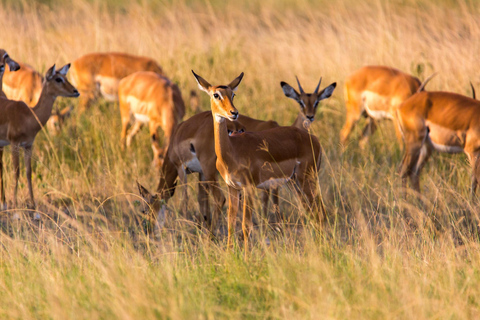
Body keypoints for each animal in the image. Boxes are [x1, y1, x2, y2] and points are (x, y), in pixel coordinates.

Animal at [0, 63, 79, 212]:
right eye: (58, 79)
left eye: (65, 77)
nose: (76, 91)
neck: (29, 115)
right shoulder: (14, 144)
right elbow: (16, 172)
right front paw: (15, 206)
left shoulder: (28, 145)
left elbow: (28, 172)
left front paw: (33, 206)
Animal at [191, 70, 322, 252]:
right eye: (216, 94)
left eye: (233, 94)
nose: (234, 112)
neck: (231, 150)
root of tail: (314, 139)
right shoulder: (232, 187)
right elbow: (231, 223)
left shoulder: (249, 188)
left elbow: (246, 226)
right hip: (295, 182)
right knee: (312, 211)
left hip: (306, 180)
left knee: (319, 211)